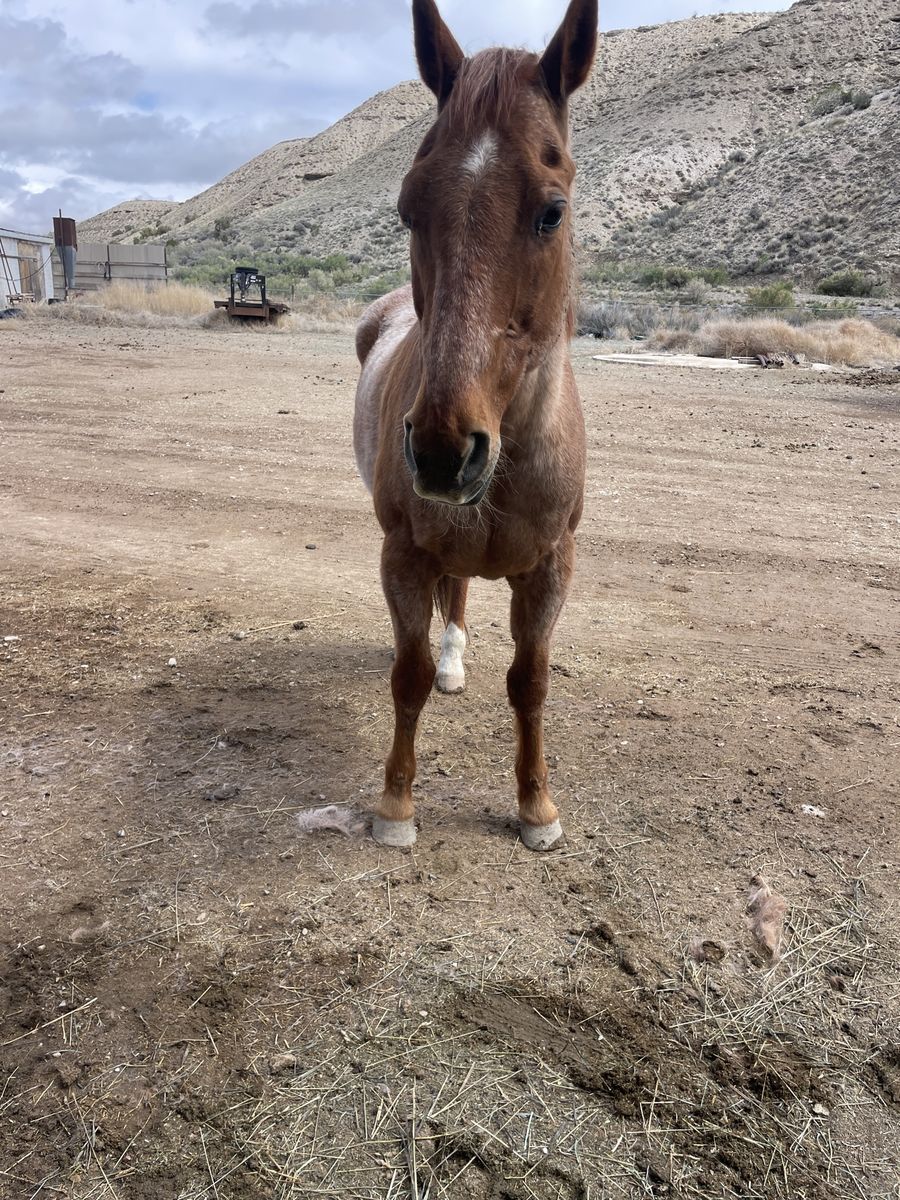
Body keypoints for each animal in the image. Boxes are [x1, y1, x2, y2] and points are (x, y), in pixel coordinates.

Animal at [353, 0, 597, 851]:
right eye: (407, 207)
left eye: (552, 210)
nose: (441, 451)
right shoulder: (401, 554)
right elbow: (409, 674)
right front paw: (395, 805)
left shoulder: (553, 568)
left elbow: (532, 682)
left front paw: (537, 806)